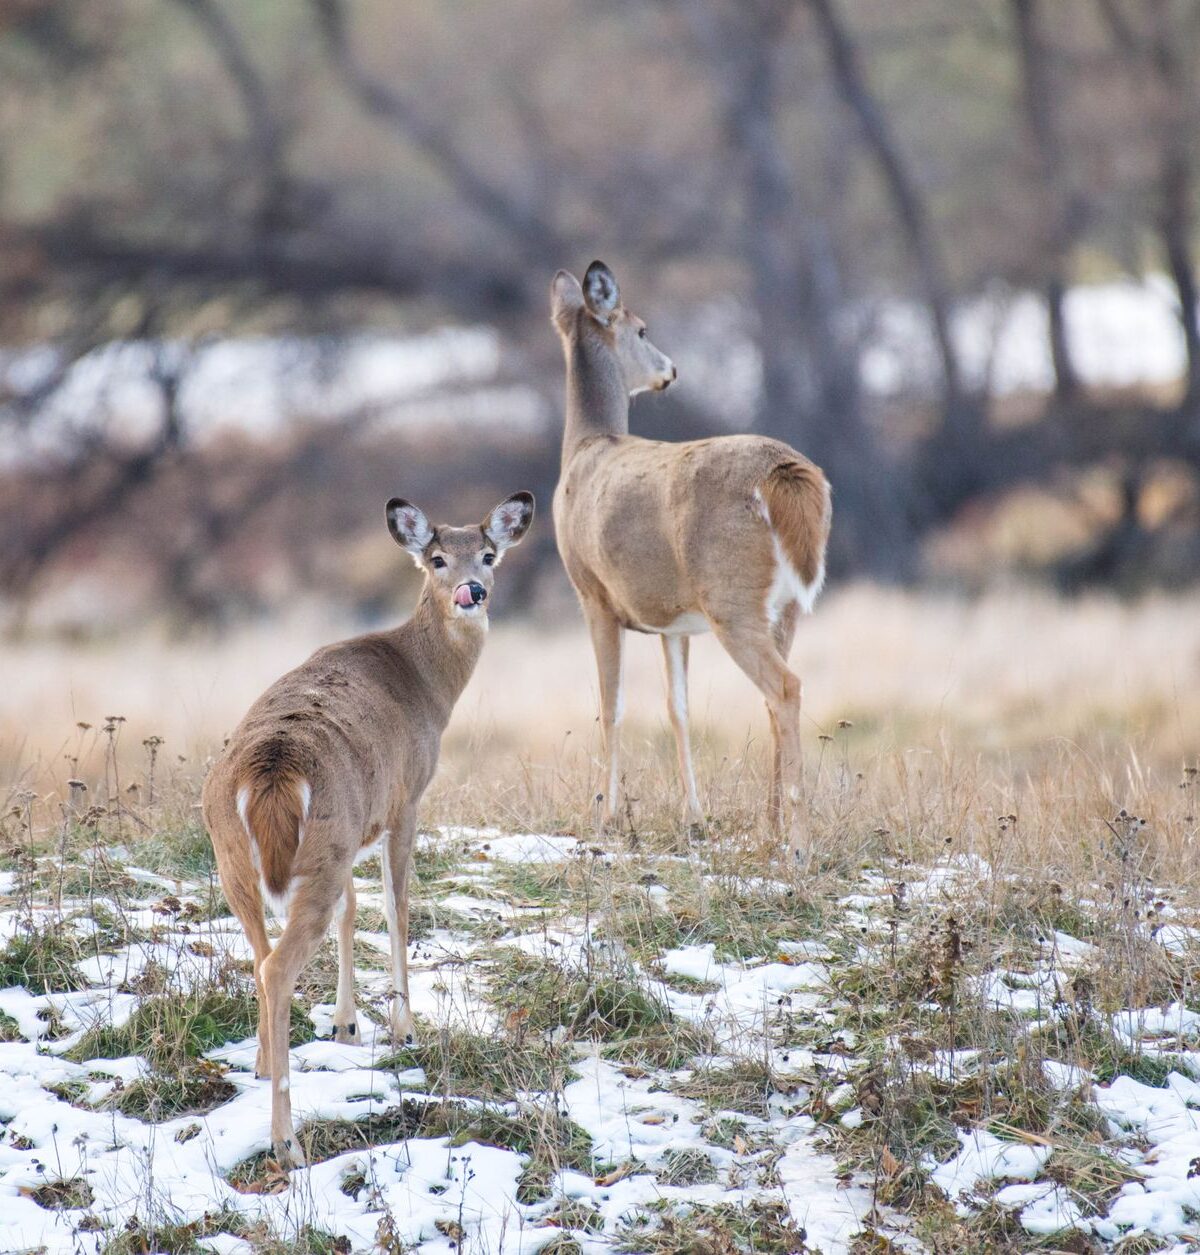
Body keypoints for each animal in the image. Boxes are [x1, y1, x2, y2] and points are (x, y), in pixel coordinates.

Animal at [201, 490, 534, 1165]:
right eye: (436, 558)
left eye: (488, 555)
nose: (472, 591)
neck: (426, 682)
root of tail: (269, 770)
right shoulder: (406, 799)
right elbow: (397, 907)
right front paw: (404, 1029)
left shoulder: (357, 825)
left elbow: (355, 911)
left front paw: (347, 1023)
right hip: (318, 850)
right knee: (277, 966)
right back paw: (285, 1140)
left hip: (246, 856)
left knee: (260, 953)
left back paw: (261, 1064)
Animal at [551, 261, 831, 856]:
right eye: (643, 330)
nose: (671, 370)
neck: (586, 448)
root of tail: (786, 473)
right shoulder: (672, 621)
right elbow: (678, 708)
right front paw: (694, 817)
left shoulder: (593, 594)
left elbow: (611, 705)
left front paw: (606, 818)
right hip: (785, 605)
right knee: (773, 697)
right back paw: (770, 825)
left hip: (731, 598)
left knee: (786, 688)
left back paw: (797, 841)